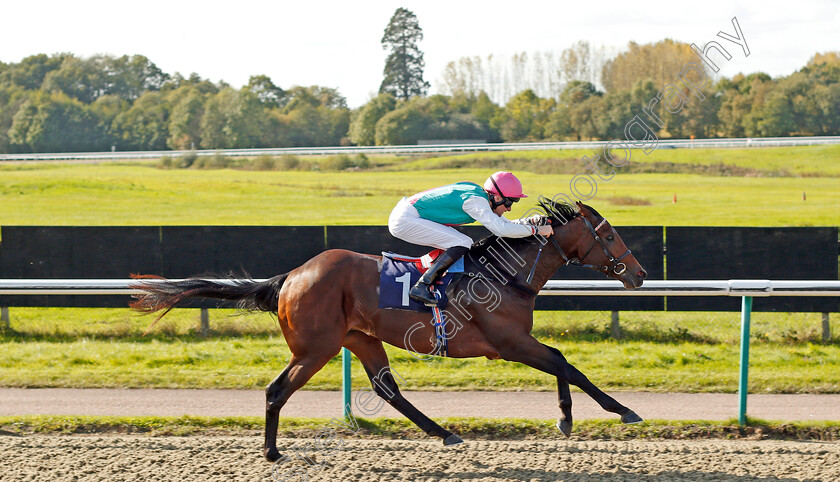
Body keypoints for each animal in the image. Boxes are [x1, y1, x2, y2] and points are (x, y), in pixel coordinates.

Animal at [131, 199, 648, 460]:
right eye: (608, 234)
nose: (640, 274)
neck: (505, 274)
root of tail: (291, 277)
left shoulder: (516, 342)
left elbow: (561, 362)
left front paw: (568, 418)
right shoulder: (508, 342)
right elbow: (566, 363)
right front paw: (618, 411)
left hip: (359, 339)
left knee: (387, 389)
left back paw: (444, 434)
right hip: (315, 348)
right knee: (277, 390)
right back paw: (273, 453)